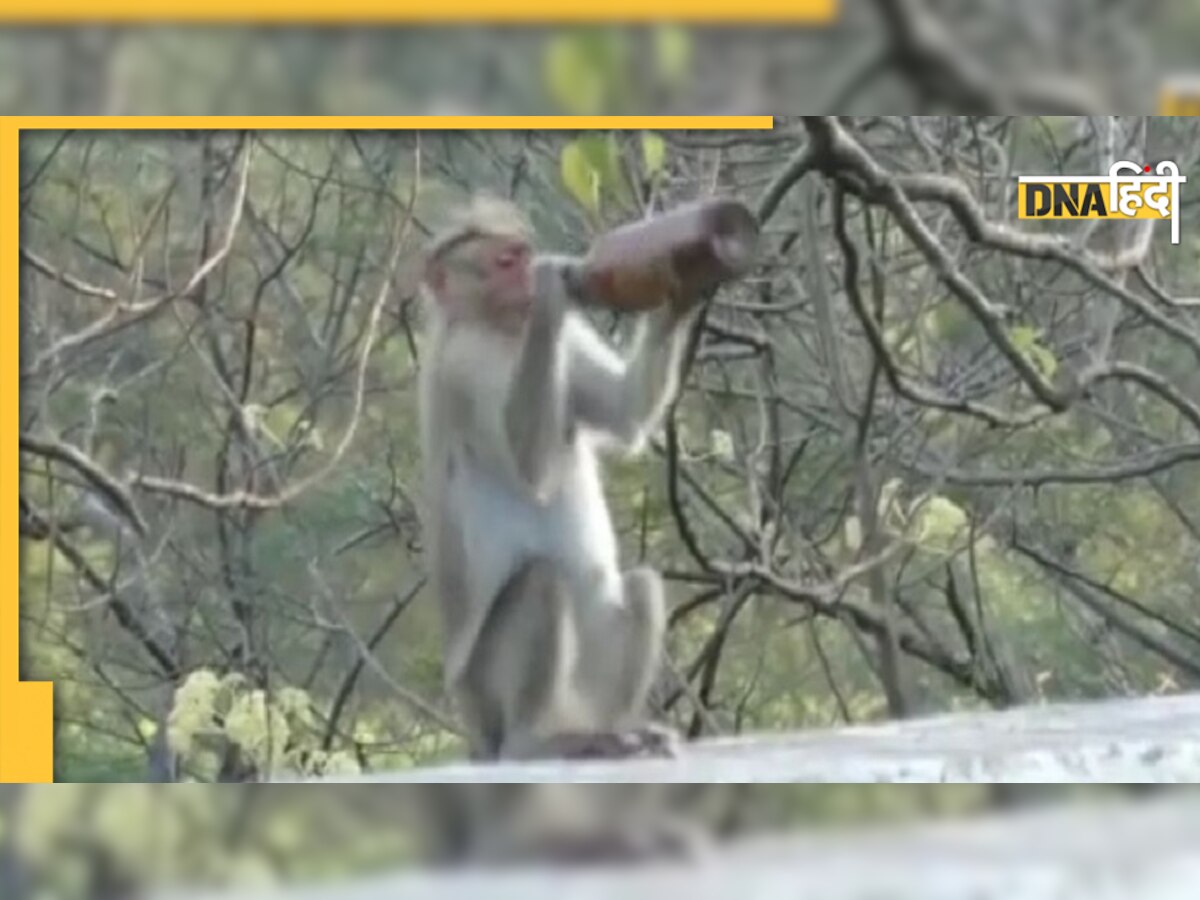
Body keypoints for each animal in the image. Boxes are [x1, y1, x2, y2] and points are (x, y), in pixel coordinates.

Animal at [420, 195, 705, 763]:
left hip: (587, 682)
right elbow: (531, 468)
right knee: (541, 583)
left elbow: (624, 413)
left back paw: (617, 731)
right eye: (507, 261)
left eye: (519, 253)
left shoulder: (568, 342)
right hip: (485, 688)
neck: (504, 329)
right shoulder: (464, 364)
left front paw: (680, 283)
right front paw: (552, 293)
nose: (530, 272)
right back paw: (532, 742)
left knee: (640, 586)